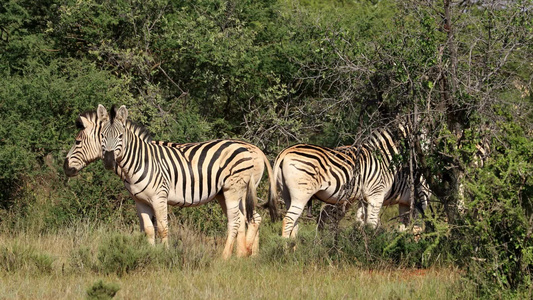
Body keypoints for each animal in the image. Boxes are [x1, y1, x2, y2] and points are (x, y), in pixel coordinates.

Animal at [64, 105, 276, 258]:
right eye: (102, 137)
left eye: (77, 142)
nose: (65, 167)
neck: (139, 160)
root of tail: (252, 148)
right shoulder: (139, 201)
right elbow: (149, 230)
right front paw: (150, 255)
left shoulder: (159, 197)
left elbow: (163, 228)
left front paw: (165, 256)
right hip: (225, 193)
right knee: (249, 219)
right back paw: (244, 255)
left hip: (234, 190)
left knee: (236, 221)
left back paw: (227, 257)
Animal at [270, 126, 428, 237]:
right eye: (424, 142)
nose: (425, 165)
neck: (385, 158)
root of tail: (284, 152)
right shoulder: (377, 195)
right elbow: (373, 224)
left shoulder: (367, 198)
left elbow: (364, 222)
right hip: (302, 194)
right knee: (290, 220)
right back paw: (287, 252)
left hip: (287, 194)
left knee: (298, 222)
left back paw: (295, 249)